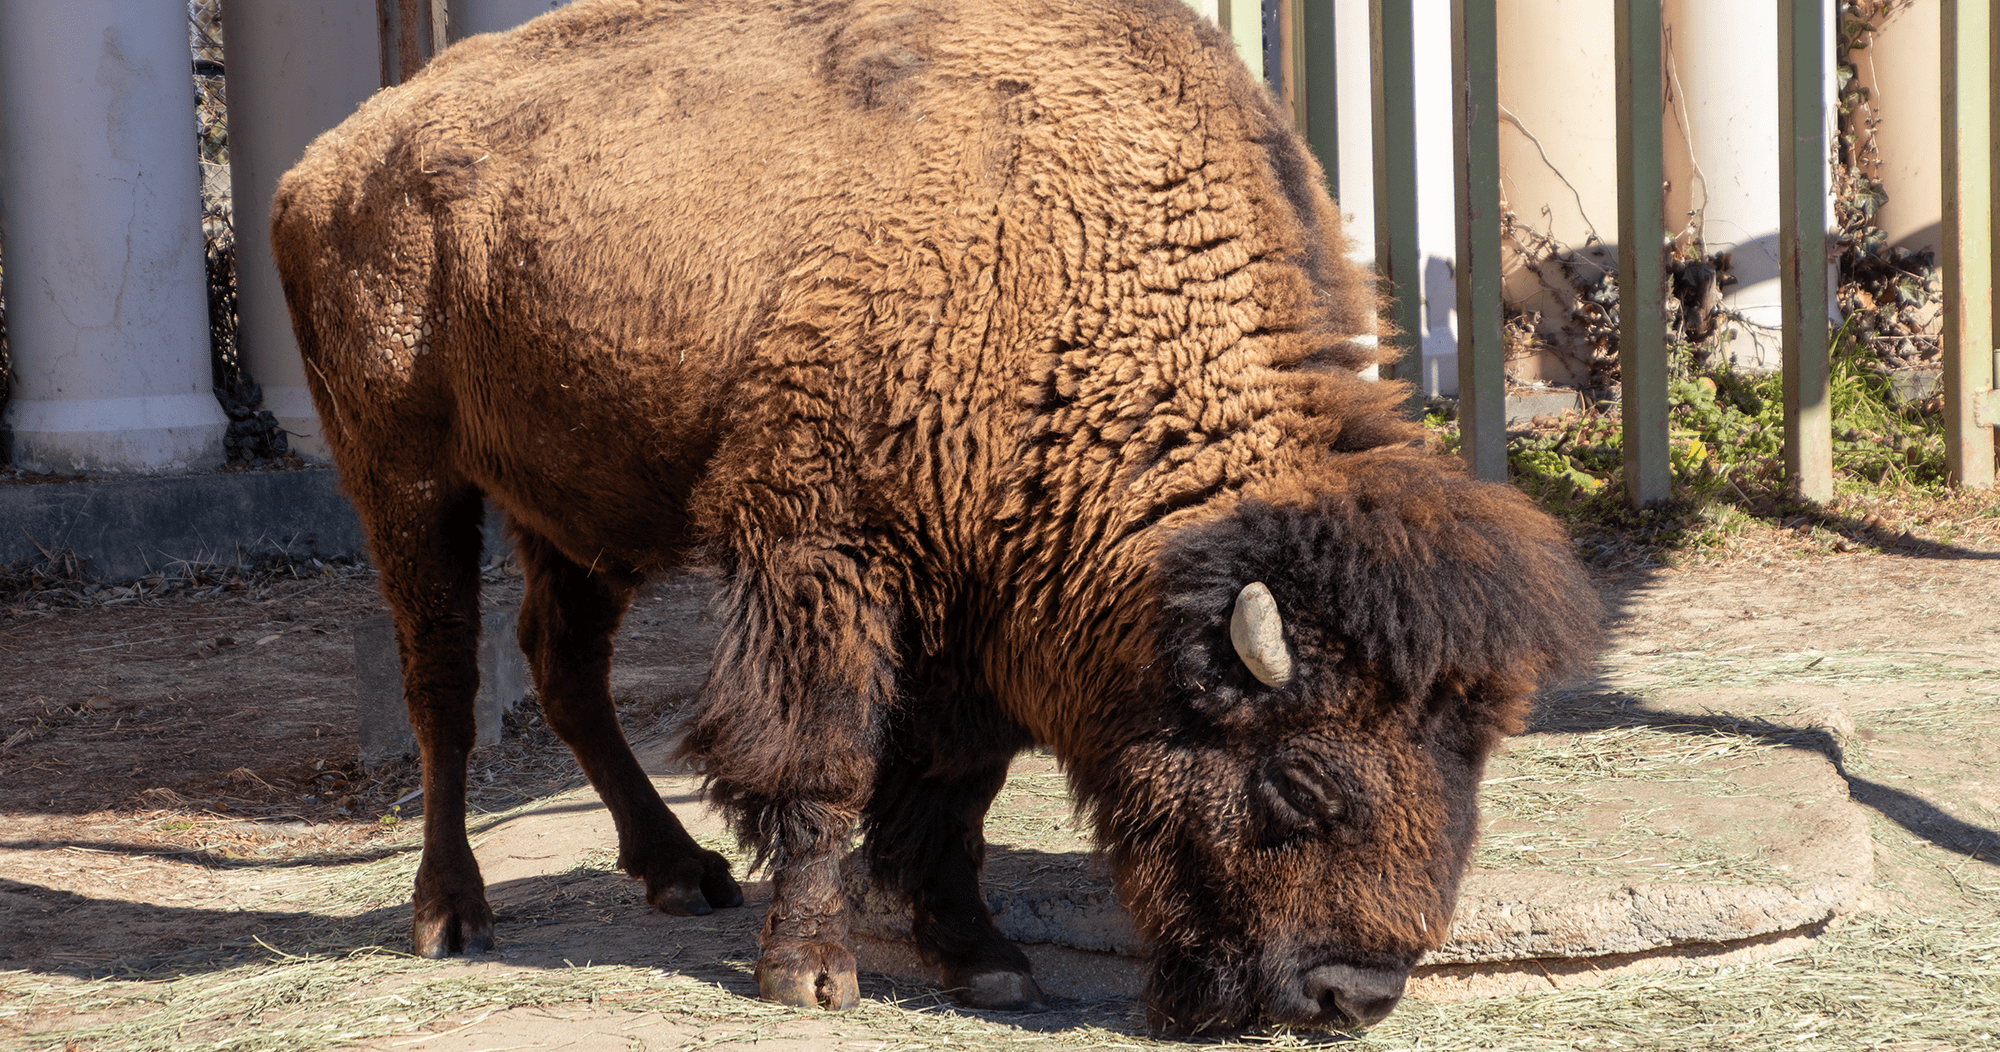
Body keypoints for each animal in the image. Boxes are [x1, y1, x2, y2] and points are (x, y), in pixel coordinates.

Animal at [274, 0, 1600, 1040]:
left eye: (1469, 766)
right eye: (1296, 784)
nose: (1351, 993)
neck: (1066, 257)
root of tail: (329, 160)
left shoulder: (986, 590)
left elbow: (954, 782)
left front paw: (983, 956)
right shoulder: (820, 546)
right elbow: (827, 753)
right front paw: (813, 971)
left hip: (572, 500)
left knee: (564, 669)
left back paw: (679, 873)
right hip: (404, 474)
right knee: (445, 684)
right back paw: (453, 912)